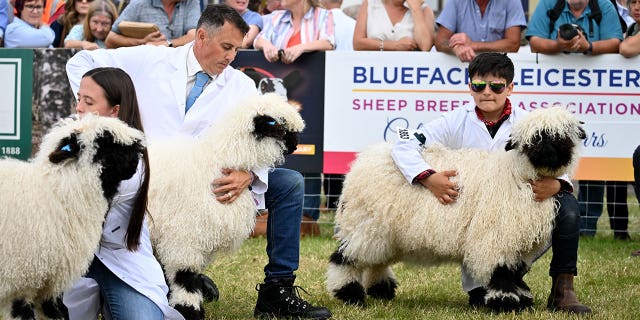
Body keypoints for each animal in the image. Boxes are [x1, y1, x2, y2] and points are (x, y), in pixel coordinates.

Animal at [145, 93, 304, 320]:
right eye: (279, 126)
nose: (295, 146)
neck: (218, 159)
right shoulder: (184, 234)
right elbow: (185, 276)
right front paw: (189, 310)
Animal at [328, 107, 588, 312]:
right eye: (535, 138)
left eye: (562, 136)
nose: (549, 153)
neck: (517, 174)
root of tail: (363, 160)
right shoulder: (497, 235)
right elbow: (501, 271)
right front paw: (504, 303)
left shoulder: (518, 241)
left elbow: (514, 272)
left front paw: (522, 299)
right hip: (366, 223)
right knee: (345, 257)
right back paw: (350, 294)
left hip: (387, 232)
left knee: (377, 260)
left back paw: (381, 290)